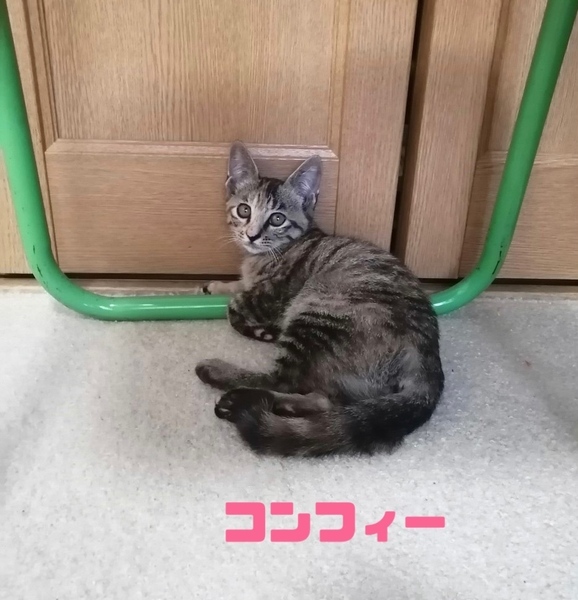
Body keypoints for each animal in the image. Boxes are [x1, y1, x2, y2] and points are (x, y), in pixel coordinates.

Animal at [195, 141, 444, 457]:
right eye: (244, 210)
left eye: (277, 218)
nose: (251, 235)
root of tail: (428, 359)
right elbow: (236, 288)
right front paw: (214, 286)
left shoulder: (272, 294)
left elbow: (235, 308)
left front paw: (258, 328)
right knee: (324, 401)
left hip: (317, 311)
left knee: (284, 380)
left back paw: (225, 381)